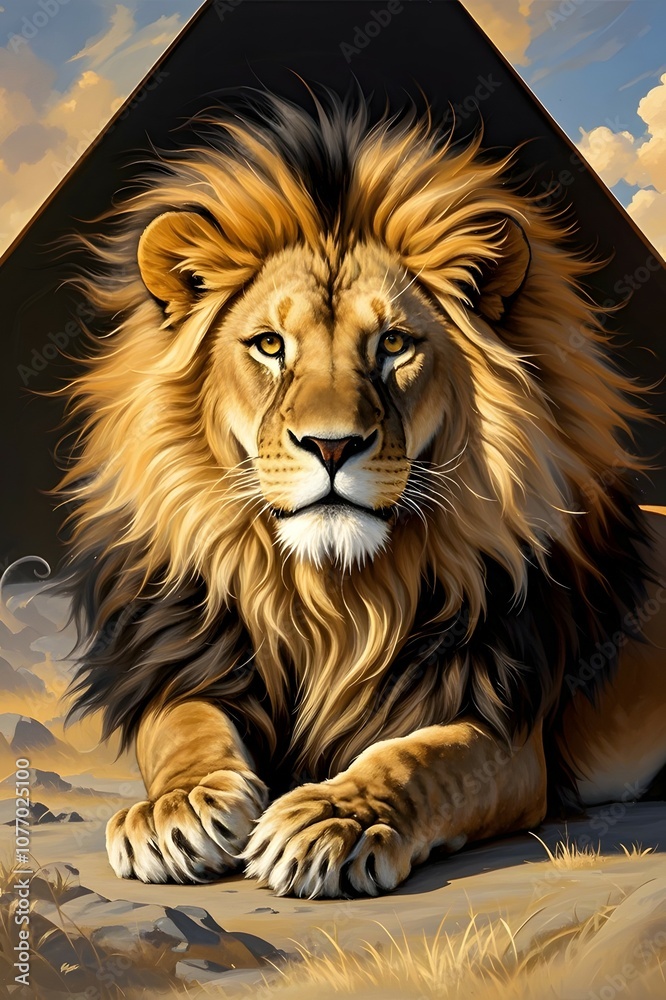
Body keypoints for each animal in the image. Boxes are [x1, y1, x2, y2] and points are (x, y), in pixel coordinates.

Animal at [57, 92, 666, 899]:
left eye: (394, 345)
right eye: (270, 345)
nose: (332, 445)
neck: (333, 599)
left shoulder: (506, 730)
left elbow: (417, 759)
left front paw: (331, 821)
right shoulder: (189, 663)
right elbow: (182, 723)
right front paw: (177, 808)